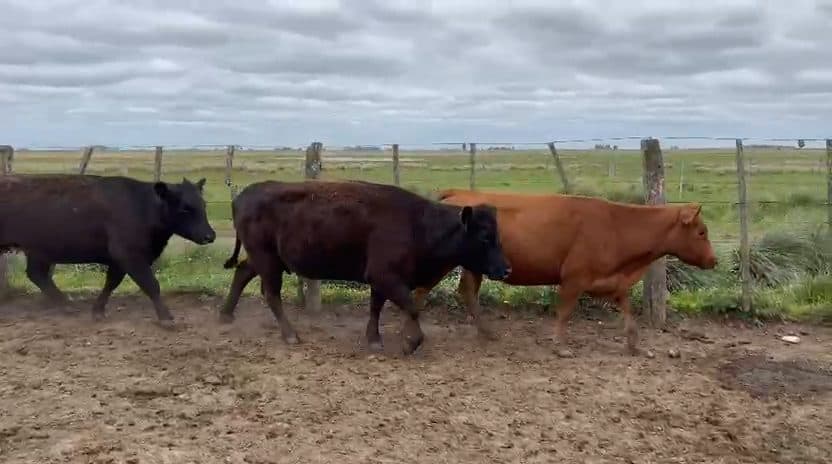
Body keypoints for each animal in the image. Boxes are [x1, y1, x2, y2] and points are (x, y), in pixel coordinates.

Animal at [0, 174, 216, 327]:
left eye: (204, 204)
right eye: (185, 208)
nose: (210, 235)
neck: (141, 206)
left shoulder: (118, 260)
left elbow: (111, 283)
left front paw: (98, 311)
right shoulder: (129, 254)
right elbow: (151, 284)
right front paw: (166, 318)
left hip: (40, 250)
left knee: (36, 274)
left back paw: (67, 305)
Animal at [218, 179, 512, 355]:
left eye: (498, 235)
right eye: (484, 236)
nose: (506, 269)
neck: (418, 224)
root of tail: (243, 195)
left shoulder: (380, 280)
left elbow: (376, 308)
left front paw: (374, 339)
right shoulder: (386, 277)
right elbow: (412, 307)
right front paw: (410, 342)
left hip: (265, 260)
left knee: (242, 273)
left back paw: (226, 315)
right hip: (267, 261)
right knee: (271, 293)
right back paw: (290, 335)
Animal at [403, 189, 718, 358]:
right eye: (702, 232)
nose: (713, 260)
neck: (616, 225)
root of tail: (457, 193)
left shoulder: (613, 281)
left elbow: (629, 314)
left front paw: (634, 345)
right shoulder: (574, 279)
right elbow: (565, 312)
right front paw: (560, 345)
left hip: (474, 268)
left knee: (466, 292)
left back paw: (486, 333)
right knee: (421, 290)